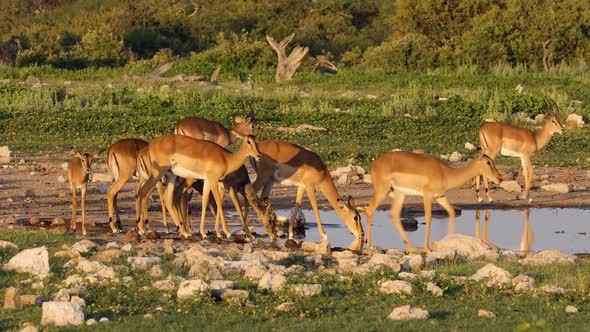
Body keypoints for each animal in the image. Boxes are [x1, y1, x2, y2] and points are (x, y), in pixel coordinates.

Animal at [368, 152, 502, 250]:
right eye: (488, 162)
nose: (499, 178)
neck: (445, 173)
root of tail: (374, 164)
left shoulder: (440, 197)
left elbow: (452, 212)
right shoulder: (427, 196)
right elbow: (428, 217)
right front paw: (427, 248)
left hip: (400, 194)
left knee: (394, 214)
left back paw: (411, 248)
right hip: (382, 191)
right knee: (369, 210)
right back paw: (368, 246)